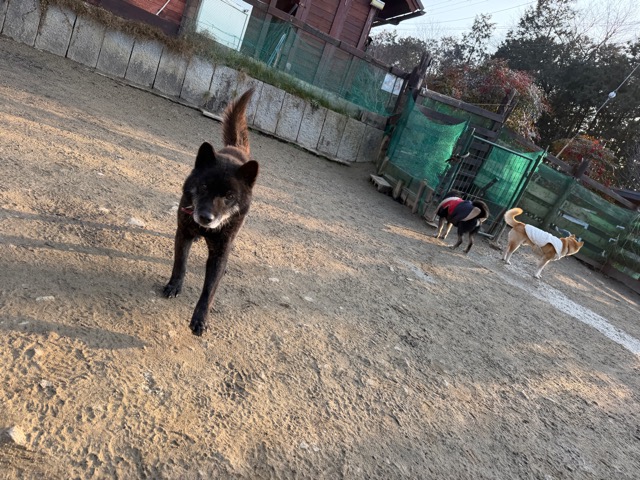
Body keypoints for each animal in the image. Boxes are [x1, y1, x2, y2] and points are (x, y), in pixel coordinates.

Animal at [163, 89, 259, 335]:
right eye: (204, 186)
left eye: (229, 196)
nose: (206, 218)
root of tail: (236, 149)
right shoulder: (183, 233)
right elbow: (180, 264)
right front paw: (174, 286)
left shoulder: (219, 252)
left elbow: (209, 289)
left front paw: (200, 318)